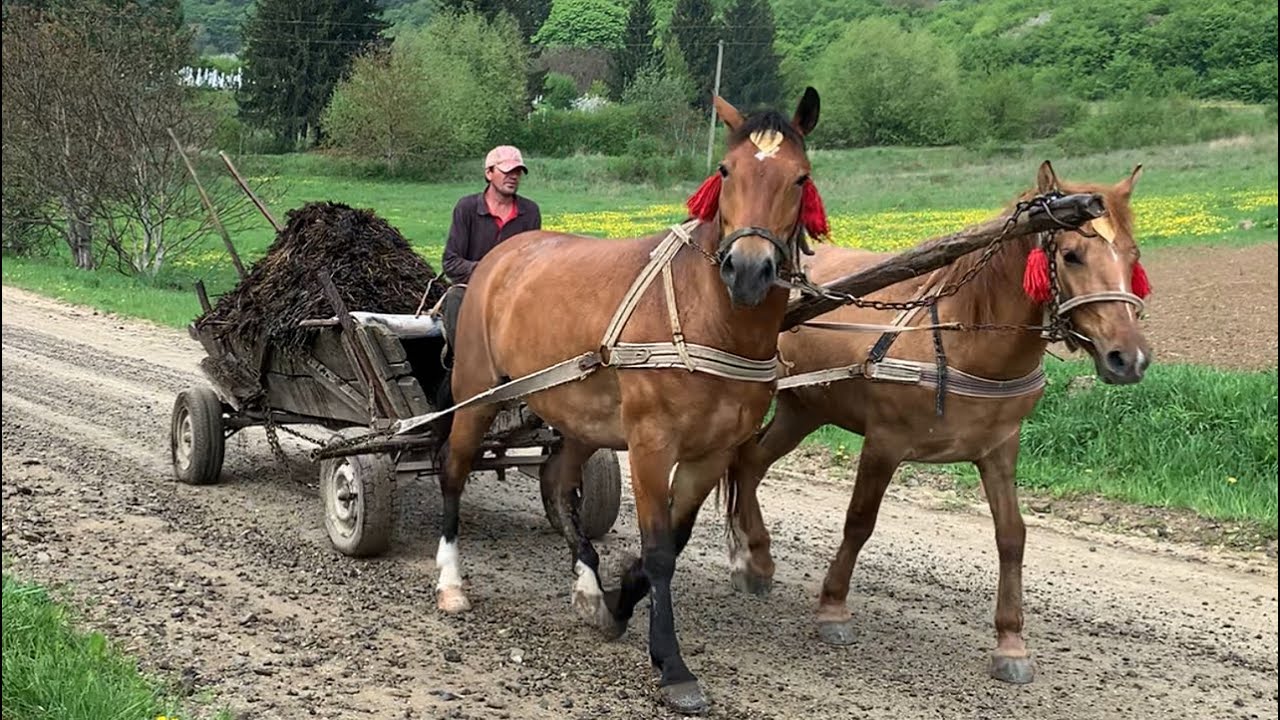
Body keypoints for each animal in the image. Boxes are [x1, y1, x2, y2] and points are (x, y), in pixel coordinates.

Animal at [432, 88, 823, 714]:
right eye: (725, 170)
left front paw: (615, 599)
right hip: (476, 395)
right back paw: (450, 580)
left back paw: (589, 584)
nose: (748, 270)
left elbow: (675, 542)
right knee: (453, 469)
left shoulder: (711, 453)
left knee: (557, 485)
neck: (709, 318)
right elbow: (660, 549)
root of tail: (505, 255)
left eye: (800, 177)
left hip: (572, 413)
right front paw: (673, 664)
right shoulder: (650, 444)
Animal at [722, 160, 1153, 685]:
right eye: (1071, 255)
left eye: (1133, 255)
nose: (1128, 359)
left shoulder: (999, 449)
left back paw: (756, 560)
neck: (961, 337)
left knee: (750, 461)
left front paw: (1011, 642)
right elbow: (859, 522)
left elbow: (1012, 536)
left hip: (803, 408)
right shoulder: (884, 443)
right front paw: (833, 608)